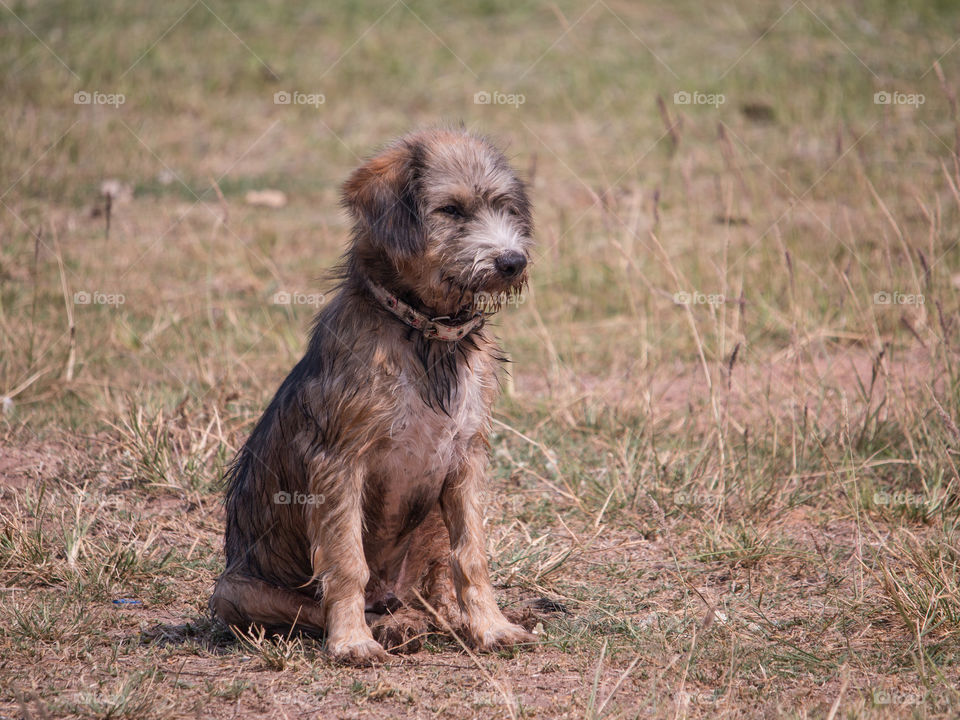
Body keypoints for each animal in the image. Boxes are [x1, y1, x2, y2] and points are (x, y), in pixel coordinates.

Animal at [210, 128, 536, 664]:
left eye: (504, 208)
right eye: (451, 210)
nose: (513, 261)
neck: (423, 332)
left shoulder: (465, 459)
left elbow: (471, 556)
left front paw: (492, 627)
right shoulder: (338, 462)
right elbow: (347, 563)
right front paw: (352, 641)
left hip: (430, 521)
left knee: (432, 588)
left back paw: (440, 620)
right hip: (233, 592)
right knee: (325, 604)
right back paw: (387, 627)